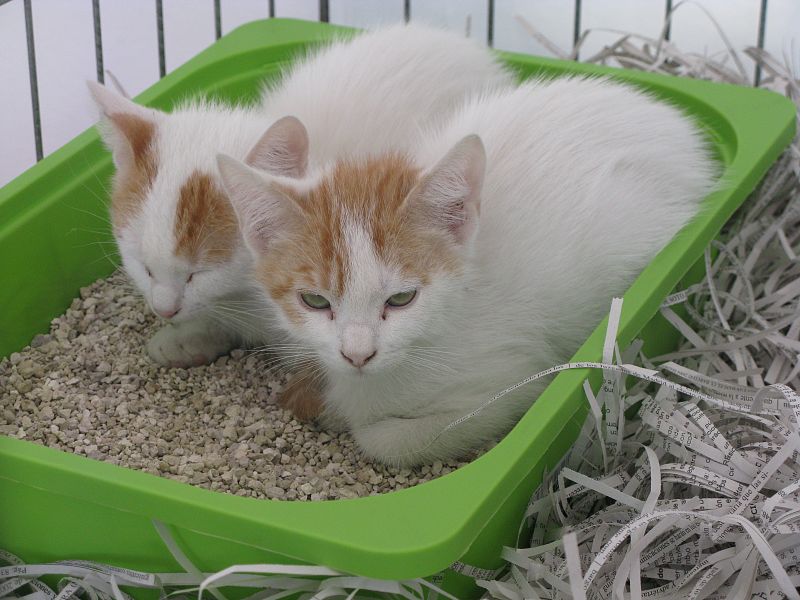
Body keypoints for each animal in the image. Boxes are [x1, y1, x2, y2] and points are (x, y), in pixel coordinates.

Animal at [217, 77, 720, 466]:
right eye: (315, 301)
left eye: (402, 299)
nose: (358, 355)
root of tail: (682, 132)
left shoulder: (514, 377)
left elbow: (387, 439)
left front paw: (354, 420)